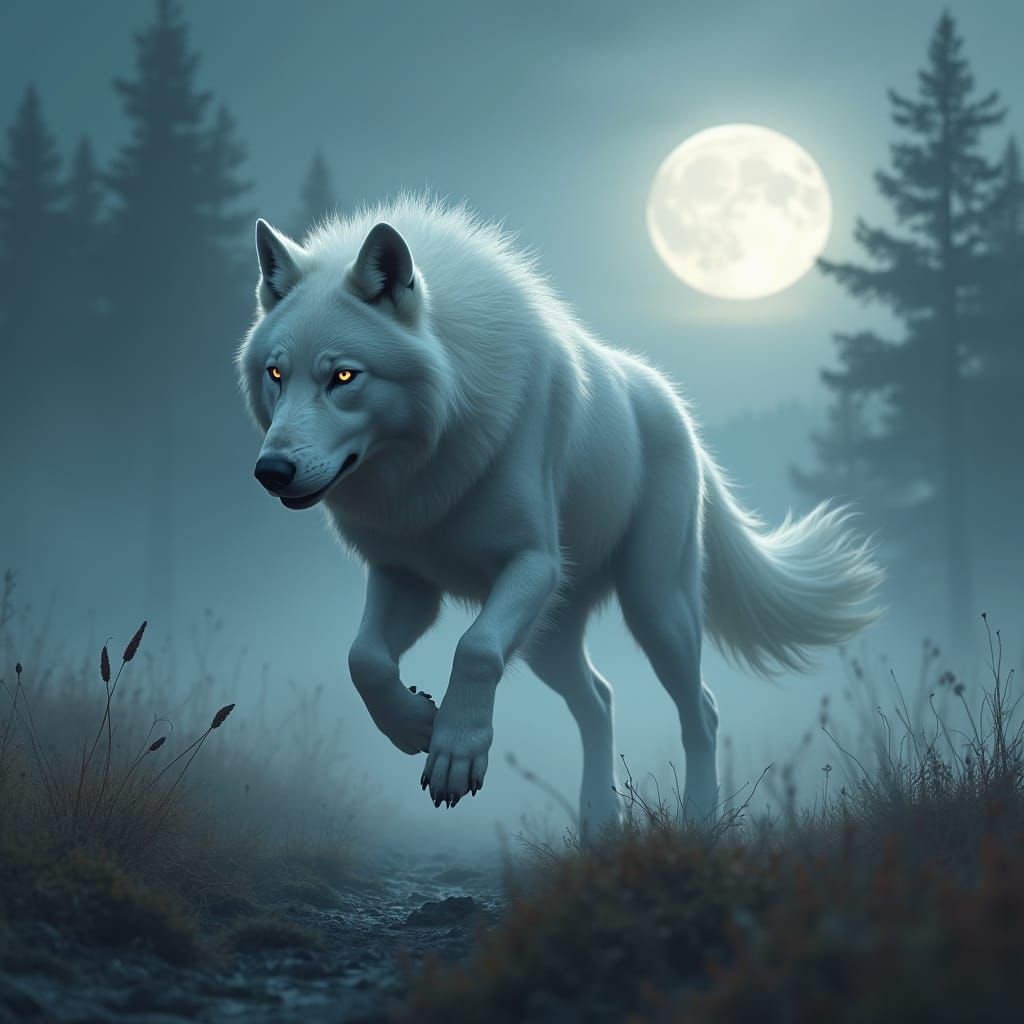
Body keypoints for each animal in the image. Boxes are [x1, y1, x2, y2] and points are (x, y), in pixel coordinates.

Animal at [236, 195, 882, 835]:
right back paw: (598, 819)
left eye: (343, 376)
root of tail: (676, 407)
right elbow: (363, 660)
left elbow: (474, 647)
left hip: (655, 607)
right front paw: (415, 722)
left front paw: (455, 752)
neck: (433, 461)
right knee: (599, 700)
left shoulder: (533, 562)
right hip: (550, 639)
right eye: (276, 374)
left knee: (701, 710)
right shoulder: (405, 578)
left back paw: (699, 820)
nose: (271, 472)